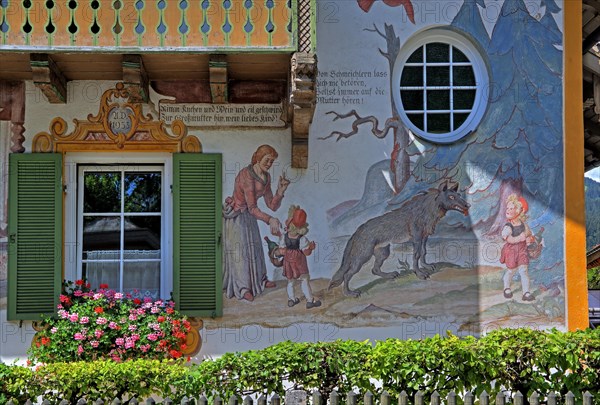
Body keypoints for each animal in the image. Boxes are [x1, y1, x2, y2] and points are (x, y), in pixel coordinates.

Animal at [328, 181, 468, 296]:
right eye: (451, 197)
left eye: (459, 195)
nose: (468, 205)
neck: (428, 210)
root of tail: (358, 230)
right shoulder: (417, 239)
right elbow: (416, 256)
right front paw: (419, 273)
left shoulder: (424, 238)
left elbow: (424, 253)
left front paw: (426, 266)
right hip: (363, 256)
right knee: (347, 274)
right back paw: (349, 293)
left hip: (383, 252)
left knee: (374, 269)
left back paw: (390, 275)